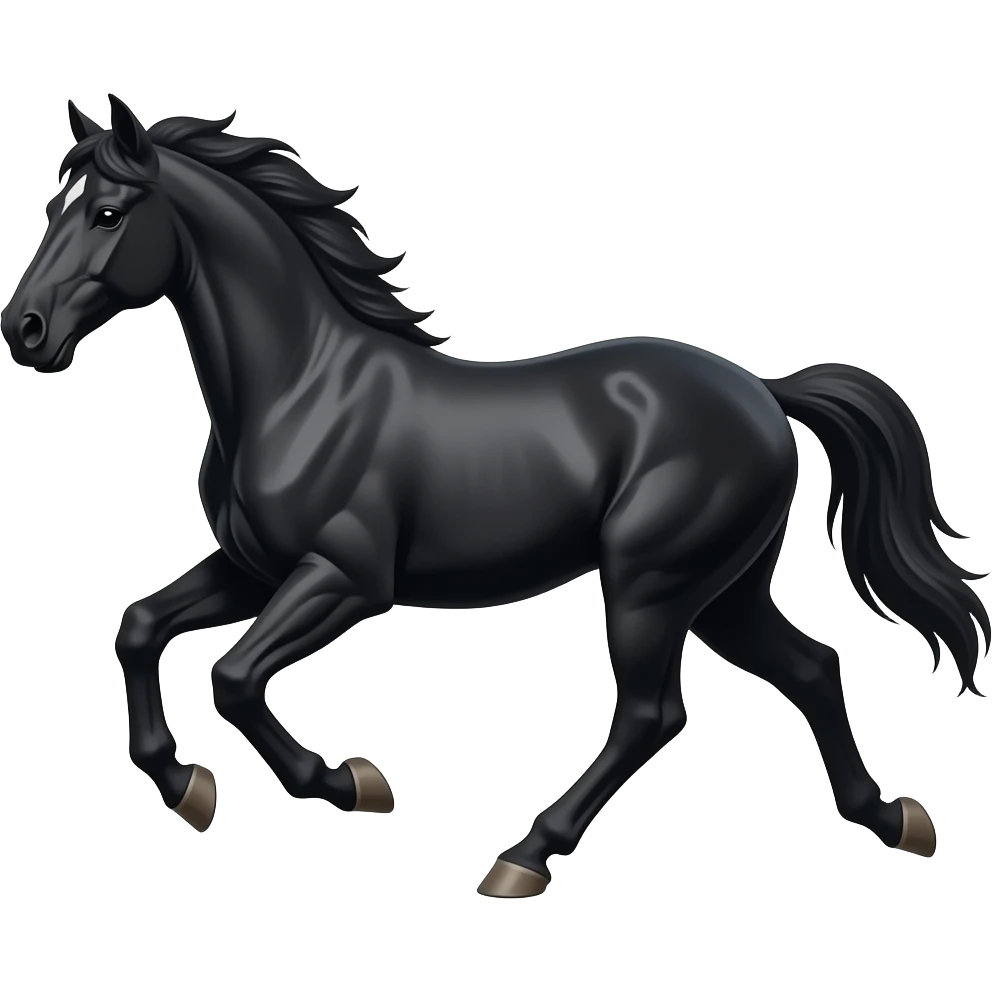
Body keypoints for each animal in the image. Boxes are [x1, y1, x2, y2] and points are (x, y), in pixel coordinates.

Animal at [2, 95, 987, 897]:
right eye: (53, 207)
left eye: (107, 212)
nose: (25, 330)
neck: (301, 387)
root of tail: (767, 396)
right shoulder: (253, 568)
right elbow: (139, 627)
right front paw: (189, 788)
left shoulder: (346, 580)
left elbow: (235, 676)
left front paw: (349, 783)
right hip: (725, 591)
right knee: (813, 667)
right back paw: (895, 817)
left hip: (652, 582)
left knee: (652, 713)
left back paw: (521, 858)